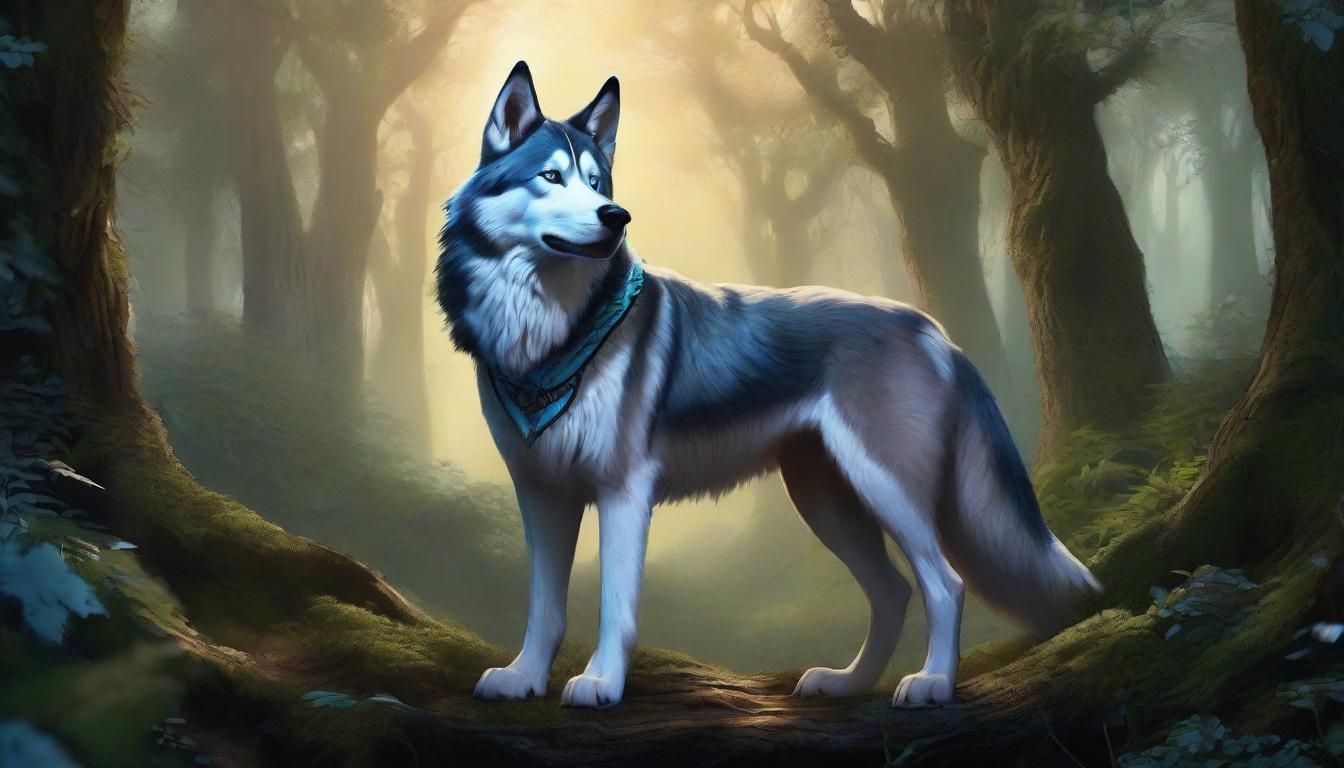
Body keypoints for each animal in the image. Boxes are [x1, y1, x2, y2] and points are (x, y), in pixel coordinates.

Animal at [435, 62, 1101, 710]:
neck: (549, 339)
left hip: (885, 490)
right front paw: (523, 677)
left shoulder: (623, 492)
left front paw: (602, 683)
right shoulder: (541, 493)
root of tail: (935, 331)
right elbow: (544, 608)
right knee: (893, 592)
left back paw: (932, 683)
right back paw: (848, 683)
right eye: (551, 176)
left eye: (599, 184)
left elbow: (614, 608)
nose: (617, 218)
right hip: (826, 500)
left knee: (944, 584)